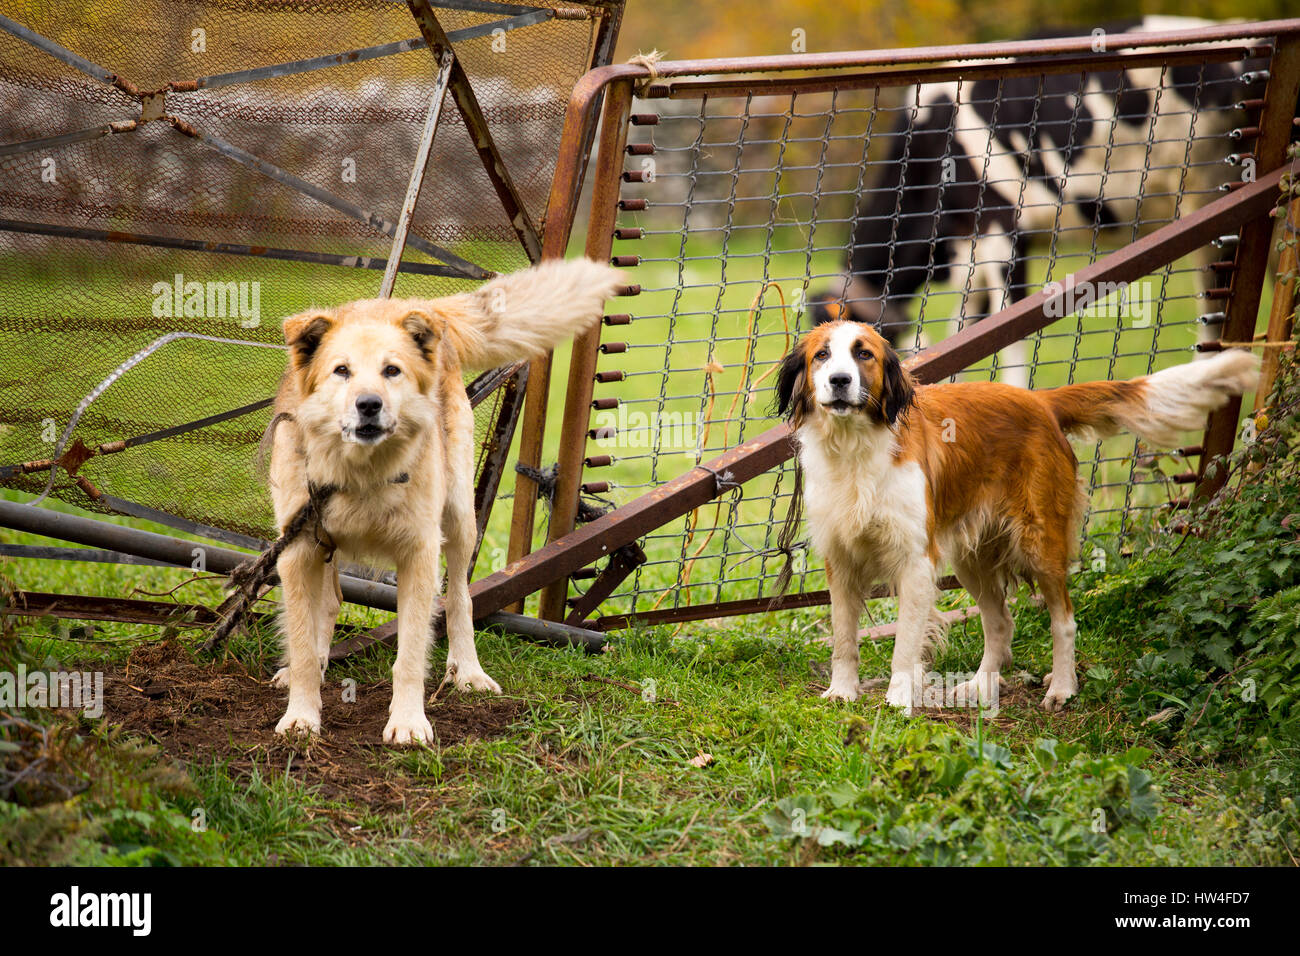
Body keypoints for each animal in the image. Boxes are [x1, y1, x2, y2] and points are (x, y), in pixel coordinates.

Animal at [266, 260, 621, 749]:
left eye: (392, 370)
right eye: (341, 371)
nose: (369, 404)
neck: (362, 472)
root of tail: (417, 307)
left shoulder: (419, 553)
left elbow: (411, 654)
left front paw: (409, 723)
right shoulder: (298, 551)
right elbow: (302, 642)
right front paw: (302, 714)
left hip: (459, 520)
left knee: (460, 601)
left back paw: (468, 671)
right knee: (331, 602)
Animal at [780, 321, 1258, 712]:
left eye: (864, 354)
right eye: (822, 355)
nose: (839, 380)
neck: (854, 447)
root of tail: (1040, 401)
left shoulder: (915, 562)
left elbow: (903, 644)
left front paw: (899, 700)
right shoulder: (840, 561)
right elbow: (844, 639)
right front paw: (842, 691)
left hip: (1039, 544)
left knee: (1064, 620)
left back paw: (1063, 687)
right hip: (972, 559)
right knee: (1000, 623)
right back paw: (980, 685)